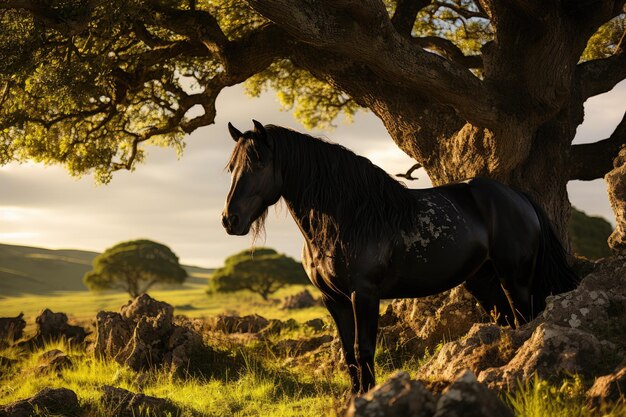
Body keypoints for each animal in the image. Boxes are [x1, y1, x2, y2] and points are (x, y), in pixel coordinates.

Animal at [222, 119, 576, 394]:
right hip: (483, 281)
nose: (230, 220)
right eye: (231, 167)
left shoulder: (364, 294)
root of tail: (518, 196)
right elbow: (347, 354)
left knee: (525, 321)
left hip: (515, 280)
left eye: (258, 163)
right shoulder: (332, 299)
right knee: (506, 322)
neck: (346, 217)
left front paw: (368, 395)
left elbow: (363, 349)